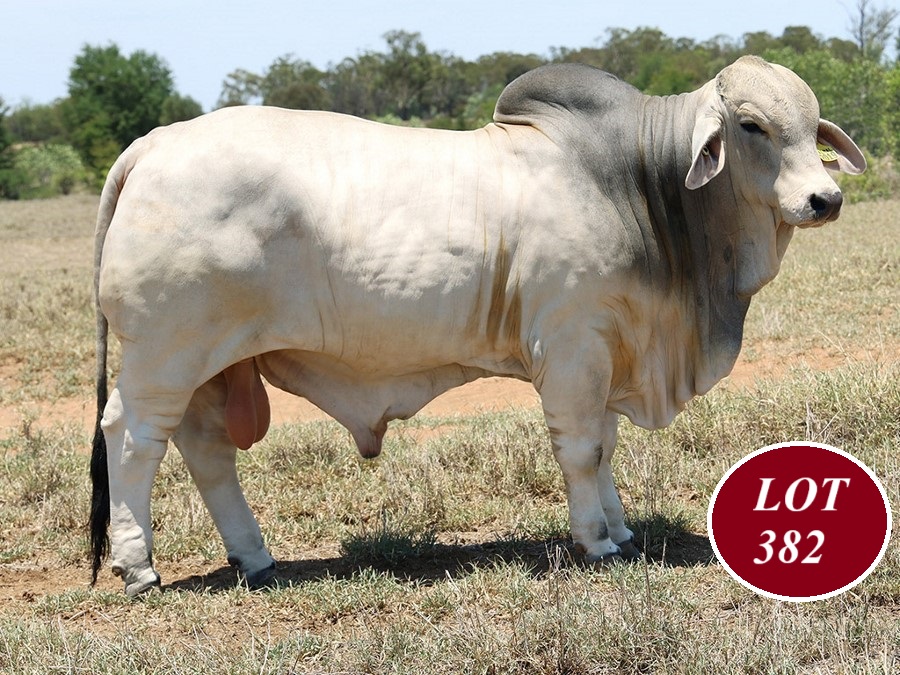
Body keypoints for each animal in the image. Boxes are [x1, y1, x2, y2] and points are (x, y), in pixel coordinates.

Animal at [89, 56, 865, 595]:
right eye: (752, 126)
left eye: (813, 125)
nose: (824, 199)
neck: (639, 184)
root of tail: (153, 144)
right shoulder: (573, 344)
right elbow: (582, 449)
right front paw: (596, 541)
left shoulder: (607, 349)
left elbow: (606, 448)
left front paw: (619, 527)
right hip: (165, 355)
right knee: (131, 440)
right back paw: (138, 567)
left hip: (213, 366)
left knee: (206, 452)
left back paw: (255, 558)